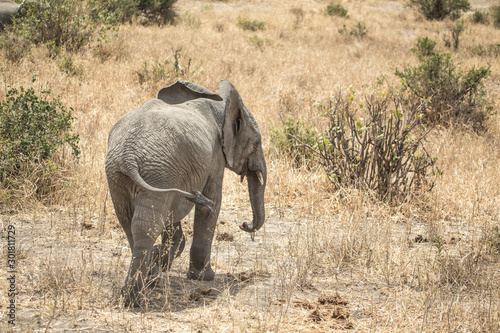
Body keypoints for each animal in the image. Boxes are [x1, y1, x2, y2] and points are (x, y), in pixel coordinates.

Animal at [105, 78, 268, 306]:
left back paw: (149, 280)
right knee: (146, 224)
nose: (244, 224)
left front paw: (162, 258)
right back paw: (136, 298)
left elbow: (172, 215)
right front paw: (203, 277)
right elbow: (212, 204)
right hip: (157, 171)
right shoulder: (214, 158)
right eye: (256, 144)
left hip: (122, 176)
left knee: (130, 222)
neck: (221, 106)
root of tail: (127, 155)